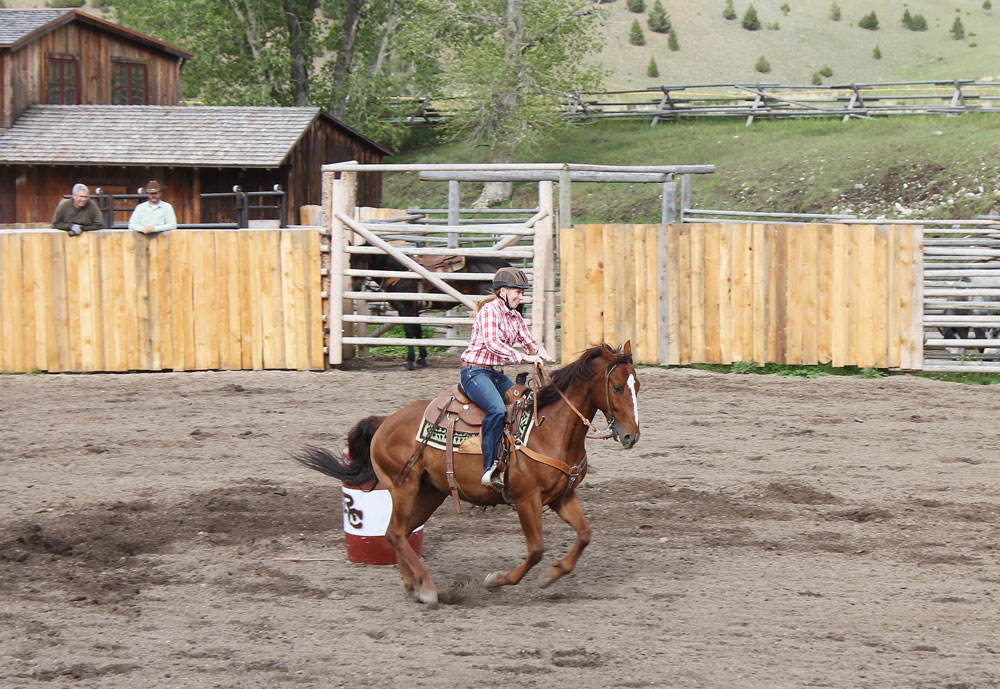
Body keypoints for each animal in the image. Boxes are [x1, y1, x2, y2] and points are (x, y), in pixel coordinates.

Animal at [294, 342, 640, 604]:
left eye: (637, 385)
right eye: (617, 387)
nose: (631, 436)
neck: (549, 428)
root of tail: (386, 421)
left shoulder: (563, 496)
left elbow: (584, 535)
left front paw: (553, 574)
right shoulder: (526, 499)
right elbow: (536, 550)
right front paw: (495, 579)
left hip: (429, 493)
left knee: (398, 533)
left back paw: (412, 584)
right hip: (403, 487)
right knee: (395, 532)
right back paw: (427, 588)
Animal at [350, 251, 508, 368]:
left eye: (364, 261)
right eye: (351, 261)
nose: (356, 286)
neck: (399, 271)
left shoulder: (405, 308)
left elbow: (409, 333)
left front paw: (409, 361)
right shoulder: (415, 310)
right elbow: (418, 332)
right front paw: (421, 358)